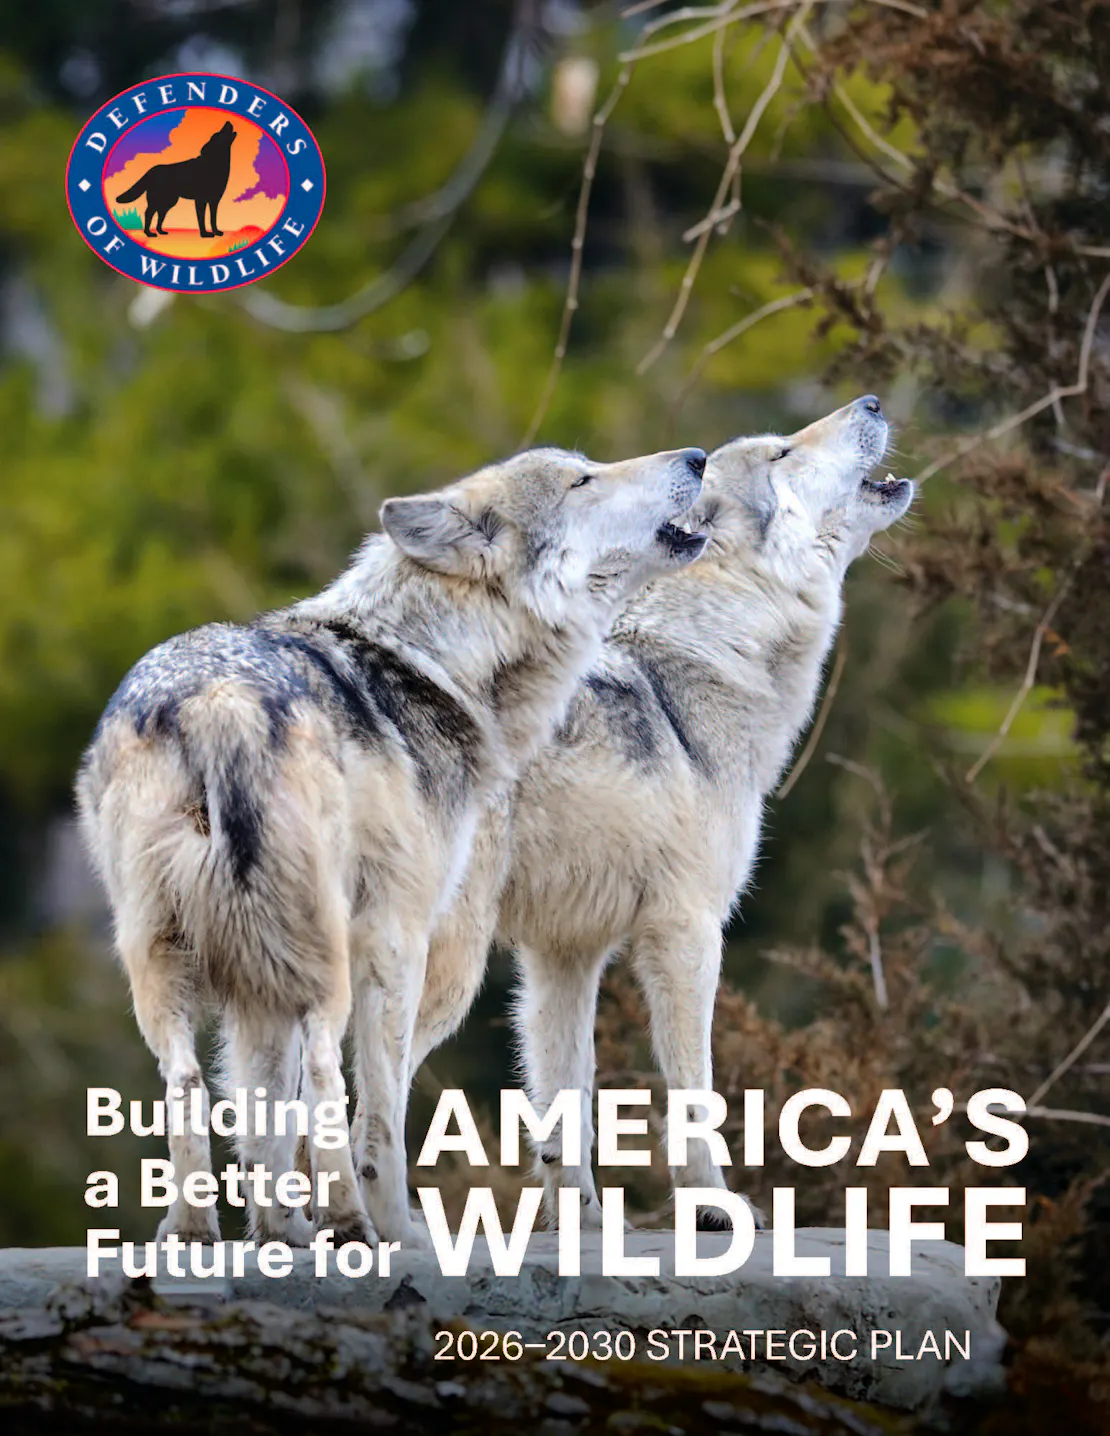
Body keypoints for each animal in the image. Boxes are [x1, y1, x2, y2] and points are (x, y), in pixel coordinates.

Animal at [77, 443, 708, 1247]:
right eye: (582, 479)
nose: (697, 456)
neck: (430, 662)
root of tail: (220, 700)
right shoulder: (397, 936)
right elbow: (377, 1112)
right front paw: (396, 1228)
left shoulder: (260, 984)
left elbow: (263, 1120)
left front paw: (277, 1230)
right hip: (323, 956)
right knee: (323, 1071)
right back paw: (351, 1224)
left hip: (164, 959)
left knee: (187, 1081)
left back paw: (193, 1231)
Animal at [407, 395, 913, 1228]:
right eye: (782, 452)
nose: (872, 401)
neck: (707, 661)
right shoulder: (686, 930)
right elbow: (692, 1094)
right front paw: (715, 1209)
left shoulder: (564, 956)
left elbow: (566, 1104)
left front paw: (580, 1224)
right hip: (448, 973)